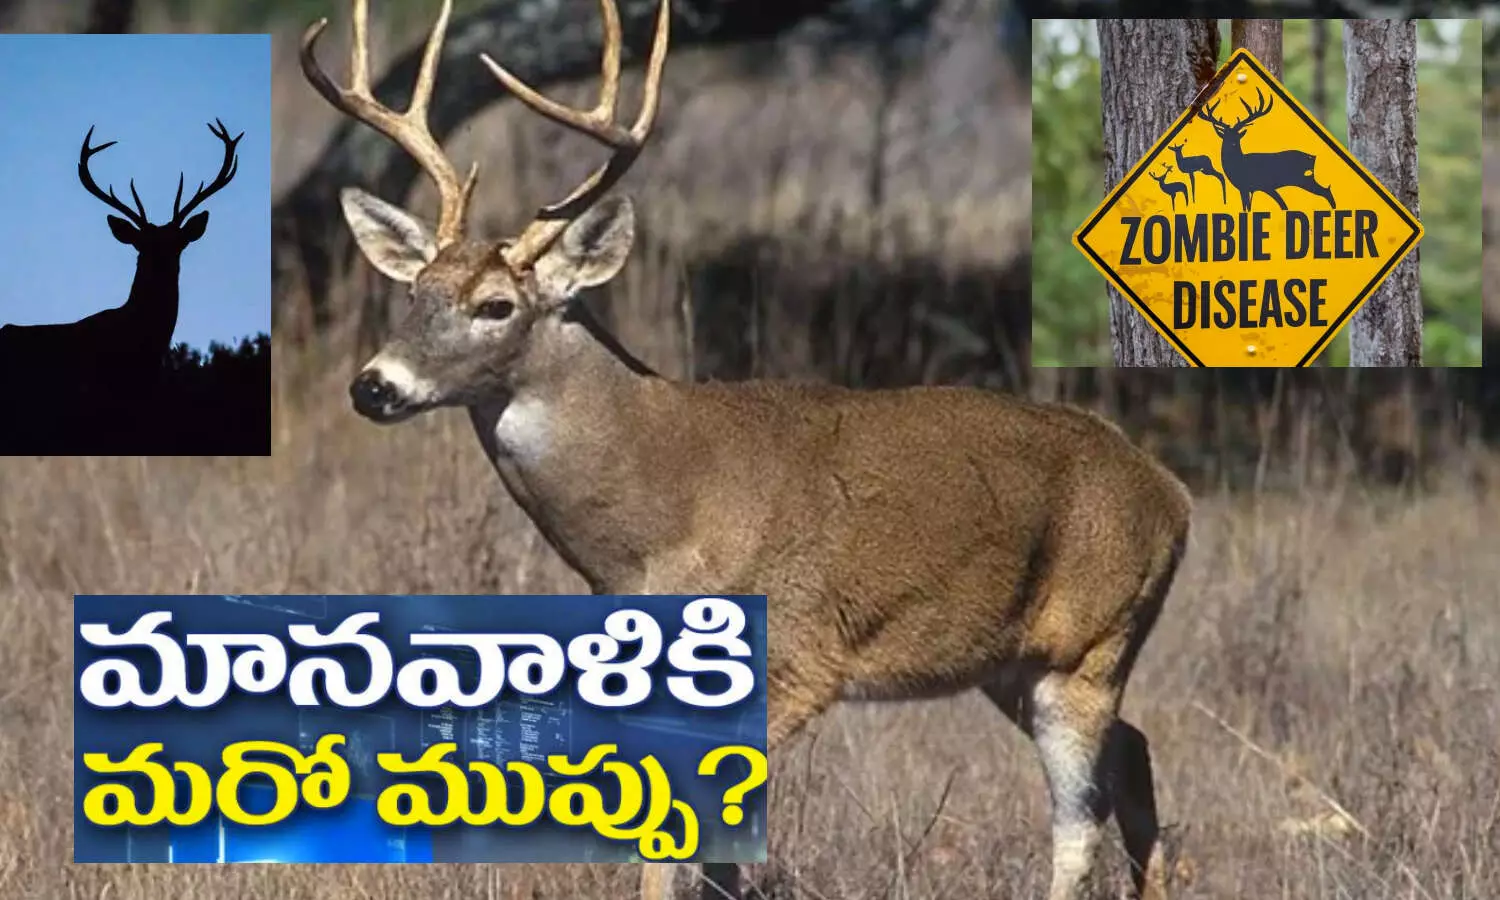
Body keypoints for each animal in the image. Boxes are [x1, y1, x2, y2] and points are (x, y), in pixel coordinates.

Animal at [300, 1, 1193, 899]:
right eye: (415, 293)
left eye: (495, 305)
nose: (373, 385)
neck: (658, 515)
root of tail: (1172, 494)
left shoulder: (792, 658)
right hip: (1014, 661)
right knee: (1137, 753)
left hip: (1089, 646)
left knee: (1079, 820)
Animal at [1196, 88, 1335, 212]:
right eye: (1225, 137)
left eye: (1237, 136)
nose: (1232, 144)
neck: (1238, 165)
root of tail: (1313, 158)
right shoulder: (1245, 188)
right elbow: (1247, 207)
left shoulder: (1254, 186)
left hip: (1304, 179)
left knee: (1325, 191)